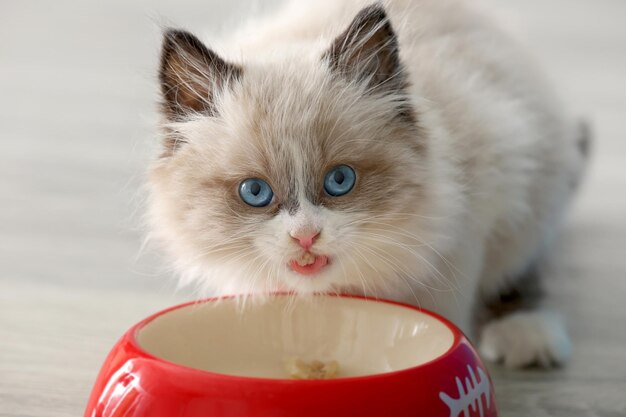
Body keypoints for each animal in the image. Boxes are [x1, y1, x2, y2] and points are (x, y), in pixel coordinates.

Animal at [149, 0, 588, 368]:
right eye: (255, 192)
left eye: (340, 180)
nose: (305, 237)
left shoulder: (471, 228)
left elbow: (450, 311)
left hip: (533, 190)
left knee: (523, 266)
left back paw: (529, 338)